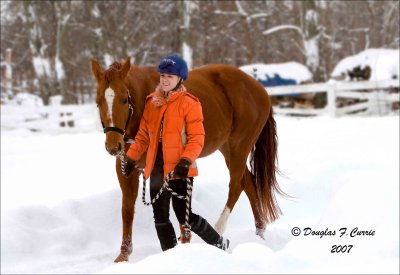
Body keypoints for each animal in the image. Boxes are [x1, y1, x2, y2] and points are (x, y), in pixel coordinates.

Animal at [92, 56, 282, 264]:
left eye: (124, 99)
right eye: (97, 101)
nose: (113, 146)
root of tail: (259, 89)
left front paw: (185, 245)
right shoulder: (127, 168)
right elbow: (127, 210)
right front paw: (123, 255)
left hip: (239, 147)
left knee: (236, 186)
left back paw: (220, 229)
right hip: (228, 150)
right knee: (249, 184)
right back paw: (259, 232)